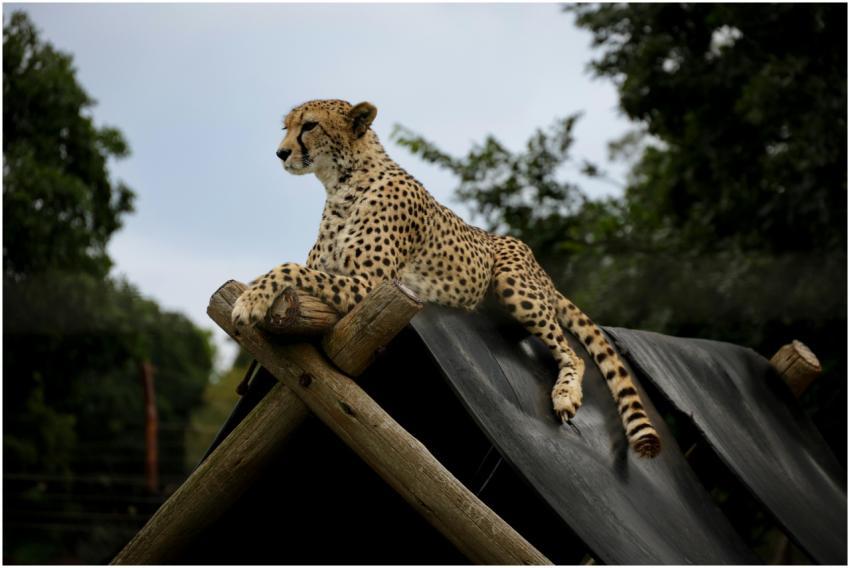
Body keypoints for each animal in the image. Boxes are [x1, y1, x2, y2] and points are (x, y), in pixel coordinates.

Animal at [232, 99, 661, 458]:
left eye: (309, 125)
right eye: (286, 126)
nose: (281, 152)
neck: (341, 184)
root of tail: (531, 258)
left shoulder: (371, 284)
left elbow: (289, 267)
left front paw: (249, 300)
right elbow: (299, 266)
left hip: (512, 283)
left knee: (572, 352)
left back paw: (565, 395)